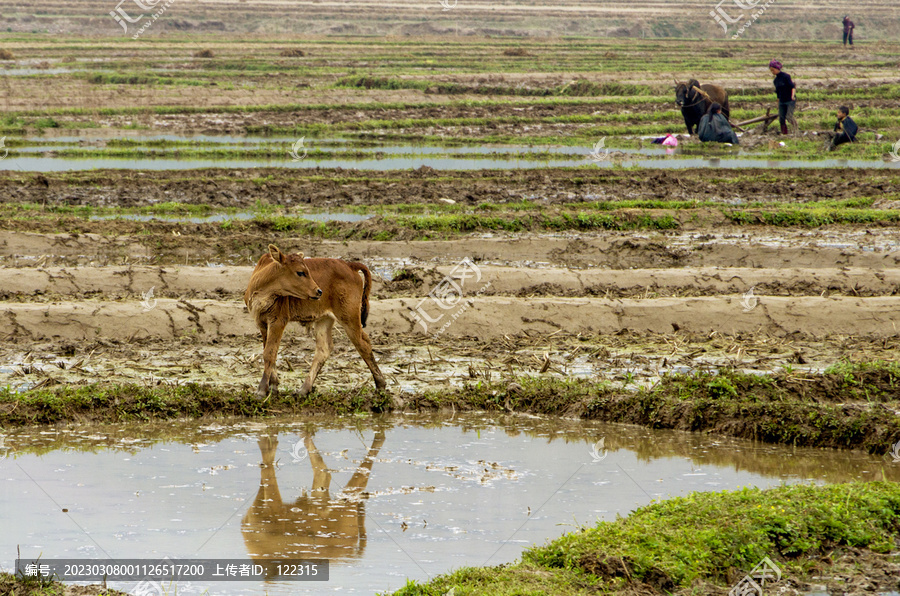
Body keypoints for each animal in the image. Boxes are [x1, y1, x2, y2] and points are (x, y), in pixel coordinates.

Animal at [246, 244, 386, 398]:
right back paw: (304, 389)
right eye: (300, 272)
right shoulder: (262, 322)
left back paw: (380, 384)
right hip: (324, 319)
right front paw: (273, 386)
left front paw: (261, 390)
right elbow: (269, 351)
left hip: (349, 317)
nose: (318, 291)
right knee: (324, 348)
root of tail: (349, 265)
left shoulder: (278, 320)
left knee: (363, 344)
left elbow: (269, 353)